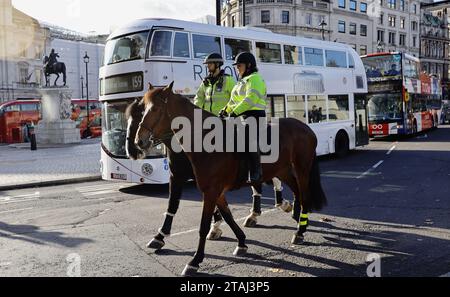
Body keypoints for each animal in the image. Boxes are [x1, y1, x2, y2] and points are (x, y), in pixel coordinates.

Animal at [134, 81, 326, 276]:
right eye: (143, 108)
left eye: (156, 109)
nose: (138, 141)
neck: (207, 142)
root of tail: (306, 127)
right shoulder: (212, 191)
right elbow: (227, 216)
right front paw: (241, 242)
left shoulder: (210, 191)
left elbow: (203, 226)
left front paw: (195, 260)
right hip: (283, 170)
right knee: (297, 193)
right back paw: (297, 219)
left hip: (302, 169)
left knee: (304, 196)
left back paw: (300, 231)